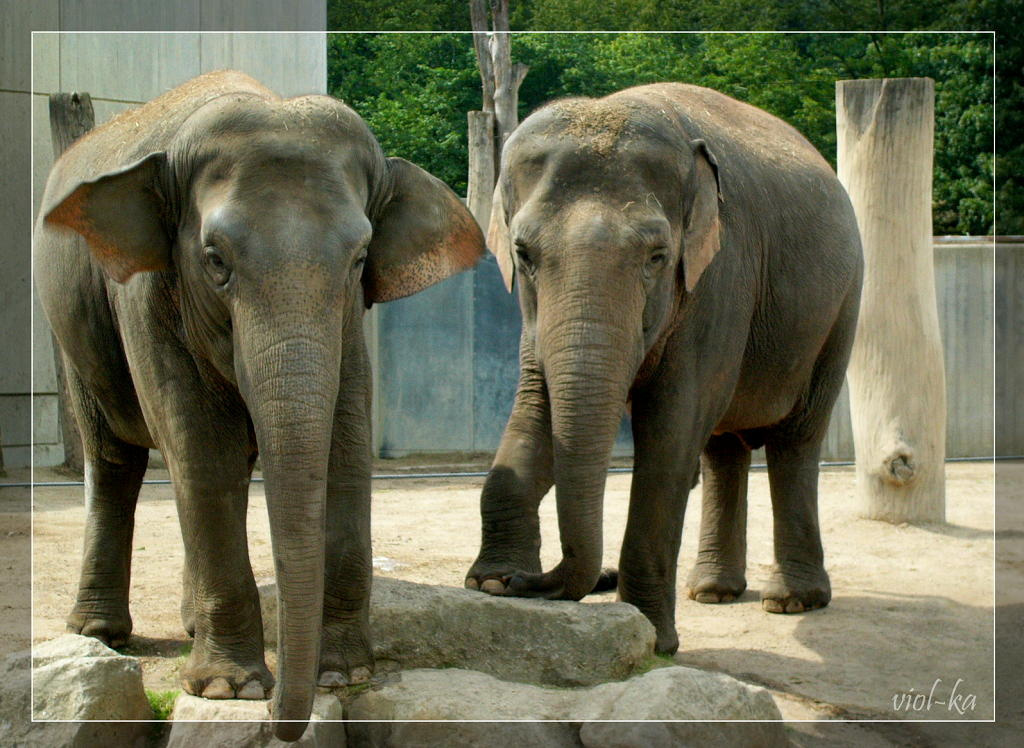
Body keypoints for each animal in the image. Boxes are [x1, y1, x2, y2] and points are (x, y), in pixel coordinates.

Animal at [35, 70, 484, 740]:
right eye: (215, 259)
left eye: (360, 259)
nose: (280, 720)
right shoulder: (147, 295)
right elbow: (201, 449)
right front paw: (233, 689)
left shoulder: (349, 322)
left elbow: (345, 443)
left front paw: (344, 675)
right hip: (73, 330)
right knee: (117, 459)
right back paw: (100, 633)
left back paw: (189, 626)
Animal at [465, 83, 863, 654]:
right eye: (523, 253)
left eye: (656, 255)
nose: (523, 583)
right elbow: (535, 407)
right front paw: (489, 581)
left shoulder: (719, 275)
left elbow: (671, 430)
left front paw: (653, 639)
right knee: (723, 447)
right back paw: (714, 591)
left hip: (839, 312)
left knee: (795, 441)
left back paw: (791, 601)